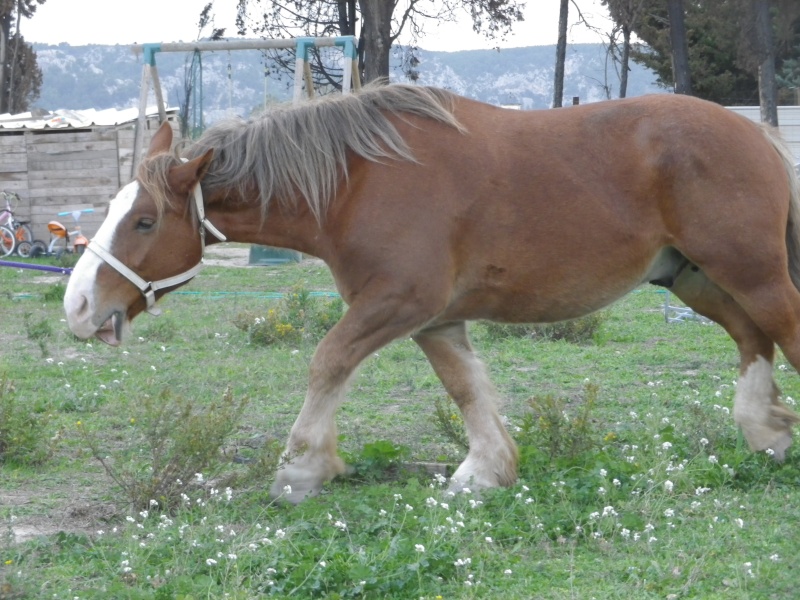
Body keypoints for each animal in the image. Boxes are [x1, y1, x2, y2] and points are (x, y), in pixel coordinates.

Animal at [64, 83, 800, 502]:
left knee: (782, 331)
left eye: (144, 221)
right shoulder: (434, 319)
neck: (356, 183)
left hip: (753, 273)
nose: (77, 307)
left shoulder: (397, 303)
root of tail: (757, 133)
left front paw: (301, 470)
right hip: (697, 277)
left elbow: (327, 362)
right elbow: (466, 388)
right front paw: (488, 471)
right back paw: (764, 431)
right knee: (752, 339)